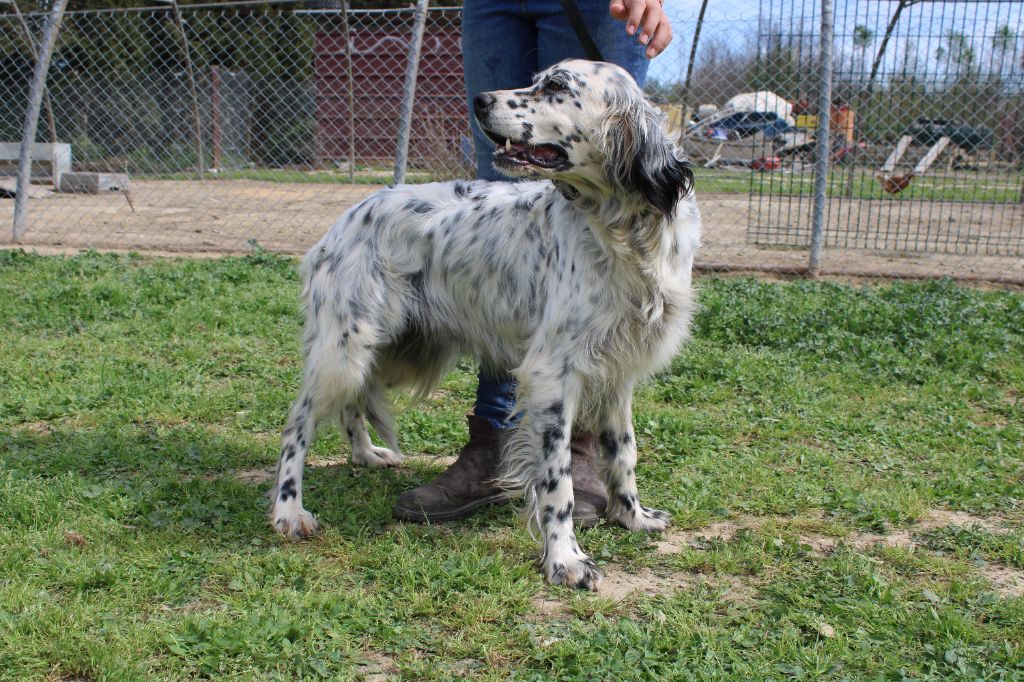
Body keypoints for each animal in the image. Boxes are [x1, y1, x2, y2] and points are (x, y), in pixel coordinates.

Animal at [270, 59, 704, 589]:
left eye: (555, 86)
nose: (478, 100)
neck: (624, 230)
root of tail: (345, 217)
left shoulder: (618, 371)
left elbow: (623, 454)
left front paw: (632, 517)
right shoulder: (552, 373)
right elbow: (557, 482)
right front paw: (565, 559)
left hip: (389, 350)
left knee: (351, 402)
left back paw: (366, 454)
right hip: (345, 348)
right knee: (297, 425)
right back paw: (289, 511)